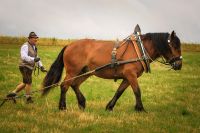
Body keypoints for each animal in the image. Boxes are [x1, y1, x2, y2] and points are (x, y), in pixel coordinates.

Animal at [41, 30, 182, 110]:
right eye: (174, 46)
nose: (179, 65)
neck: (140, 49)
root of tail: (69, 45)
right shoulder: (130, 75)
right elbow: (137, 91)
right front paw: (141, 108)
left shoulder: (127, 77)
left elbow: (119, 92)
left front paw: (109, 107)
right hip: (72, 71)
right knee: (65, 86)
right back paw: (62, 107)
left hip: (85, 72)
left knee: (74, 85)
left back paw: (82, 103)